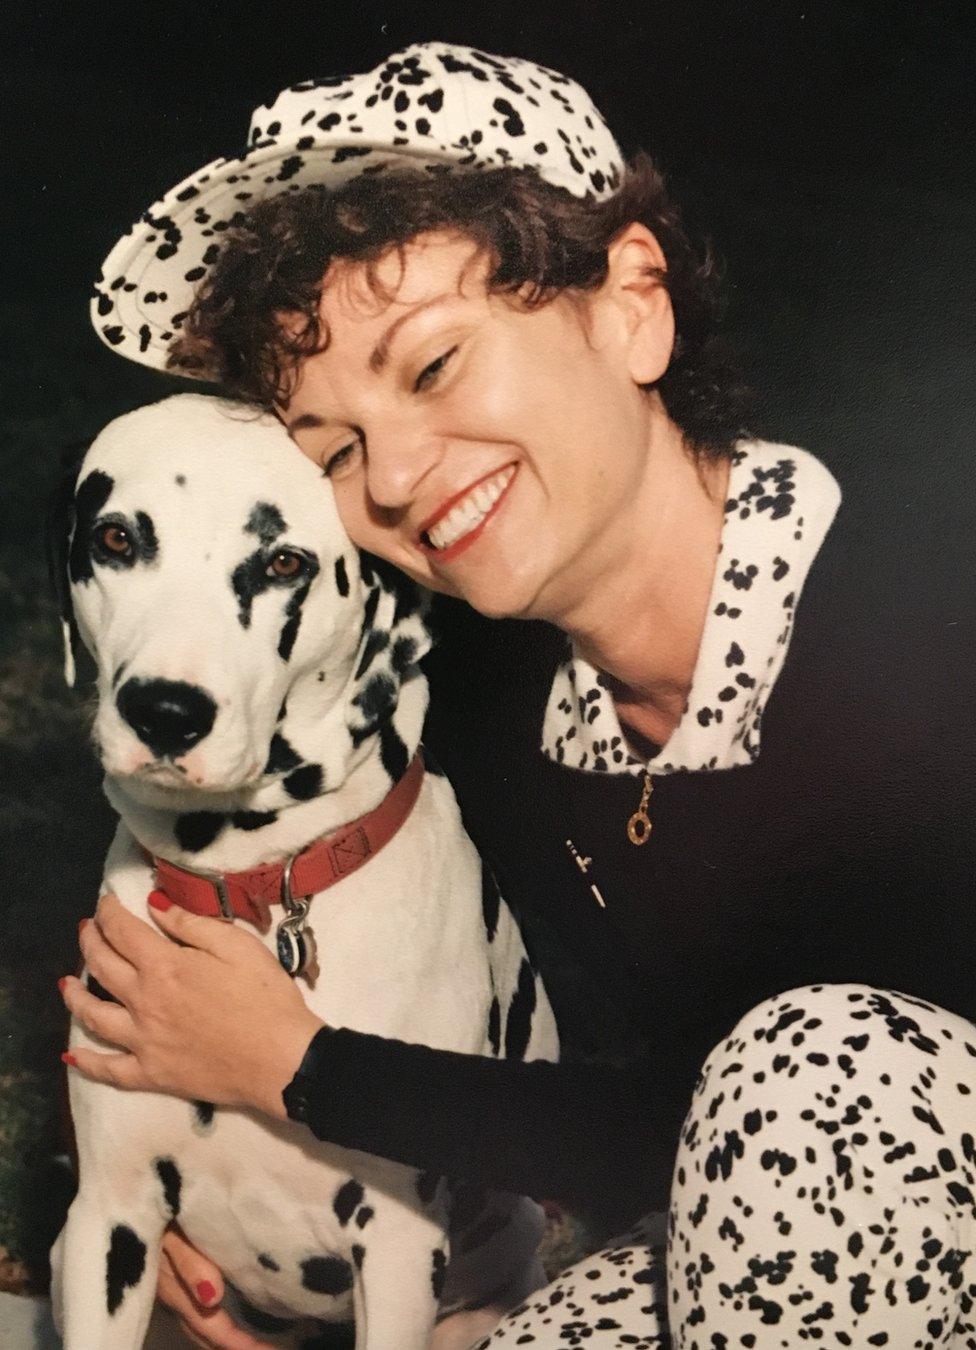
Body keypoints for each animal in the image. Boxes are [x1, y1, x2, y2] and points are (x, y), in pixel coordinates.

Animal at [51, 394, 556, 1350]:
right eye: (116, 539)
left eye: (284, 562)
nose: (165, 711)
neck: (252, 889)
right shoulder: (110, 1222)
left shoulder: (398, 1248)